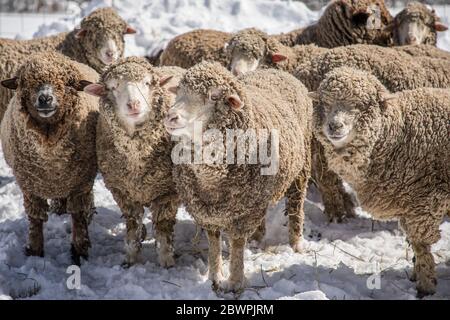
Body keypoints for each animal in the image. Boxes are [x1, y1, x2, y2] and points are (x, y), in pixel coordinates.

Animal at [0, 51, 98, 264]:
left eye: (69, 82)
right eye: (24, 82)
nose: (45, 98)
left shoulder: (80, 184)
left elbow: (78, 216)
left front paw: (79, 251)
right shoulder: (29, 186)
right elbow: (35, 219)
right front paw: (34, 251)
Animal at [83, 57, 184, 268]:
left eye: (147, 83)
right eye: (113, 87)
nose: (134, 104)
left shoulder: (167, 192)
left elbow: (163, 228)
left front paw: (166, 260)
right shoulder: (123, 192)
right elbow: (133, 224)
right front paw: (131, 257)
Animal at [163, 60, 312, 292]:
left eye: (214, 96)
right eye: (178, 91)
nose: (171, 116)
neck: (211, 179)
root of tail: (275, 70)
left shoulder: (244, 214)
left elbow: (237, 243)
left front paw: (234, 281)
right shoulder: (206, 210)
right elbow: (214, 242)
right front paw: (214, 276)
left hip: (301, 169)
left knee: (297, 207)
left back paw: (296, 243)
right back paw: (258, 238)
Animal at [310, 67, 450, 298]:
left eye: (358, 105)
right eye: (326, 103)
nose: (334, 126)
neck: (398, 134)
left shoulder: (424, 202)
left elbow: (420, 244)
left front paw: (425, 285)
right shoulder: (411, 205)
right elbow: (414, 243)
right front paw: (416, 273)